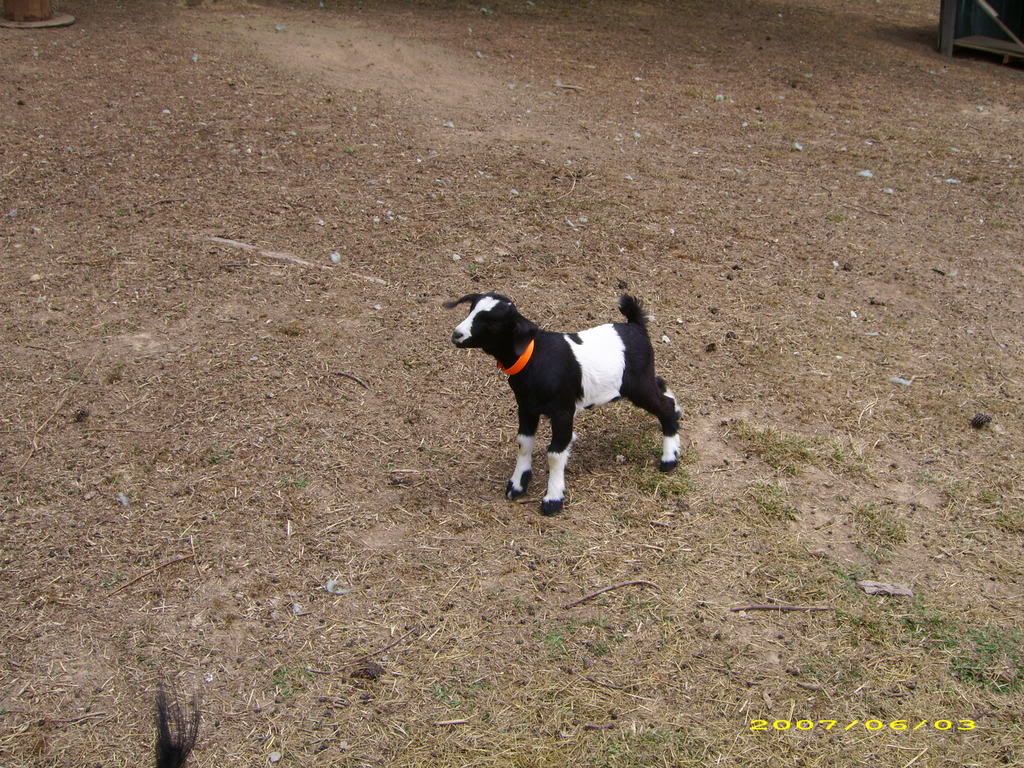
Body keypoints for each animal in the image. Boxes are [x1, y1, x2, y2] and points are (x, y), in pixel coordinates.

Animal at [446, 293, 682, 515]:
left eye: (491, 321)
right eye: (471, 309)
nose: (457, 335)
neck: (533, 358)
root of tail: (635, 325)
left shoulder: (563, 411)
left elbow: (555, 454)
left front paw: (553, 499)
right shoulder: (526, 407)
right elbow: (524, 442)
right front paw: (517, 485)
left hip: (637, 385)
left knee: (664, 407)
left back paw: (669, 458)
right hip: (643, 379)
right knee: (662, 386)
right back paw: (678, 415)